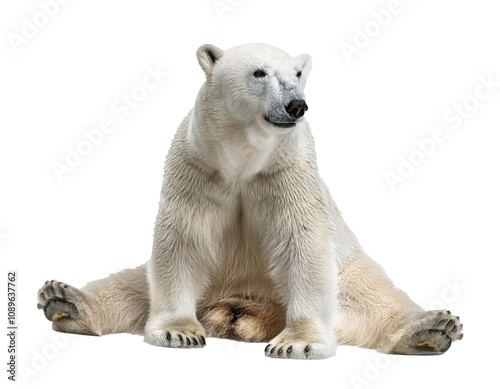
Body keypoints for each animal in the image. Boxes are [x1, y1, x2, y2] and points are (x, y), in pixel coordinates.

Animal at [37, 42, 462, 358]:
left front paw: (297, 343)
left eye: (297, 74)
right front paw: (178, 333)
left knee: (376, 301)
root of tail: (236, 309)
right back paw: (64, 300)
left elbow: (302, 243)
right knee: (131, 285)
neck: (244, 159)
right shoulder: (198, 166)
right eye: (260, 72)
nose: (296, 105)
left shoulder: (287, 172)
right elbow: (183, 240)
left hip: (351, 272)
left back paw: (432, 329)